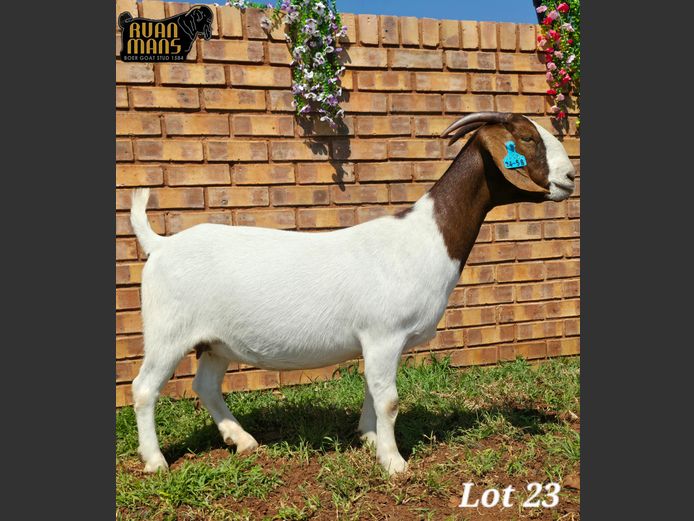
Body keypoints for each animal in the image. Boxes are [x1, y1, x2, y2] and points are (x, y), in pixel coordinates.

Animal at [128, 112, 575, 475]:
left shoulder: (377, 342)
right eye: (526, 137)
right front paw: (394, 463)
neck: (424, 238)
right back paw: (156, 461)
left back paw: (243, 441)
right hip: (168, 331)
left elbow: (372, 391)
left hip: (215, 342)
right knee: (145, 388)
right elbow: (389, 399)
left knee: (205, 386)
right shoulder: (384, 334)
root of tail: (161, 244)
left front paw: (369, 438)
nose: (570, 177)